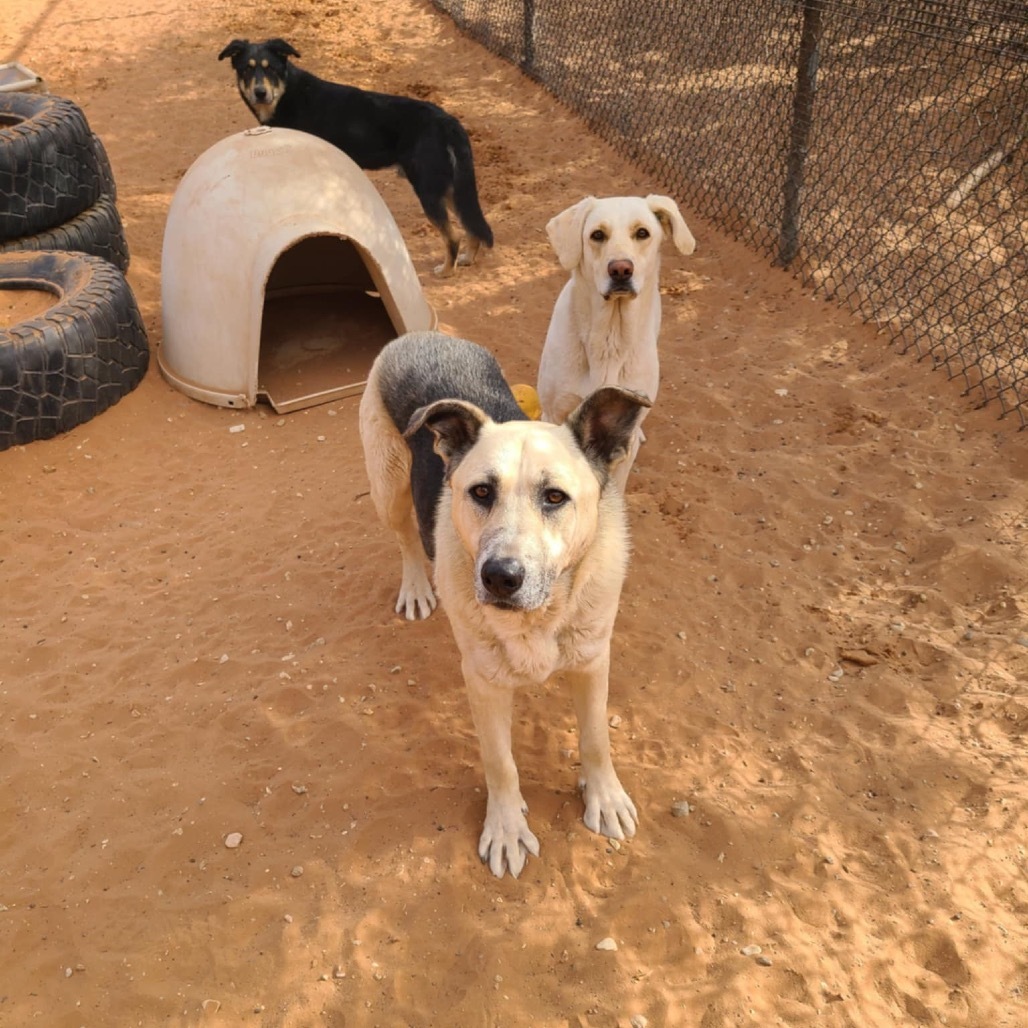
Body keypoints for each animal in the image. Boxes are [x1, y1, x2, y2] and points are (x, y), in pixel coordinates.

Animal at [216, 38, 493, 275]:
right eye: (247, 69)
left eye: (270, 69)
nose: (260, 93)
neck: (286, 94)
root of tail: (447, 121)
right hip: (449, 187)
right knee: (471, 225)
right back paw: (467, 259)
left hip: (429, 189)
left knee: (453, 235)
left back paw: (446, 271)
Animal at [359, 333, 649, 879]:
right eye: (480, 491)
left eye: (555, 497)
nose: (499, 577)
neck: (541, 615)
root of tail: (418, 335)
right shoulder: (484, 680)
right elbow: (500, 762)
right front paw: (507, 828)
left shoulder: (592, 659)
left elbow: (596, 737)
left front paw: (604, 796)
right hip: (387, 483)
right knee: (405, 535)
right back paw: (416, 585)